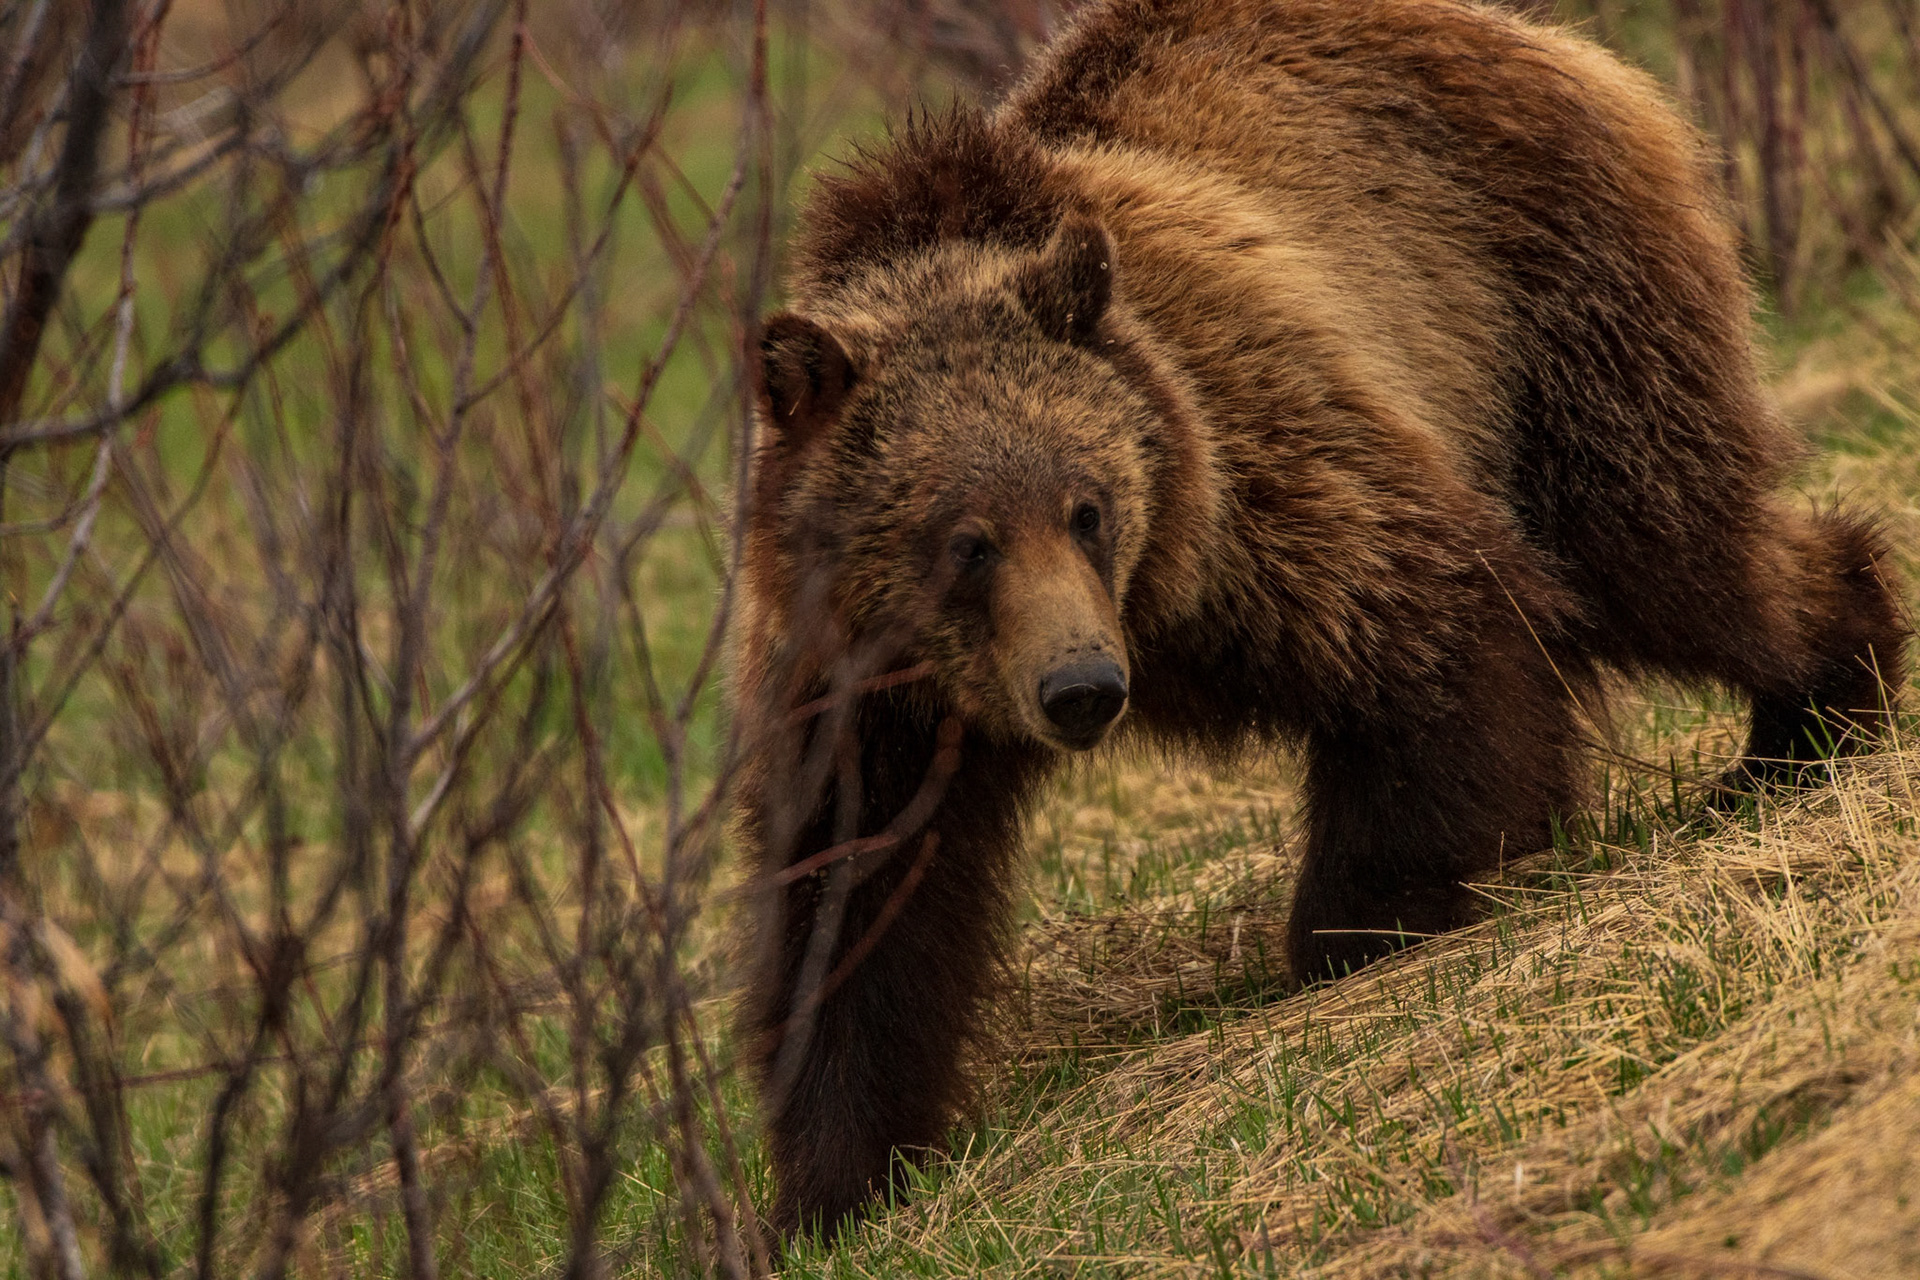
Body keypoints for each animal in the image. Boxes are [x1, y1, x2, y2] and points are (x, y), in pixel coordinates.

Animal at [730, 0, 1907, 1238]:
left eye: (1087, 507)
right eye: (967, 541)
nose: (1082, 687)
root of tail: (1546, 39)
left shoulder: (1256, 465)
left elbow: (1429, 631)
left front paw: (1363, 922)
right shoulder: (860, 679)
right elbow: (859, 894)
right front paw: (833, 1178)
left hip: (1543, 304)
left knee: (1669, 544)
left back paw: (1812, 705)